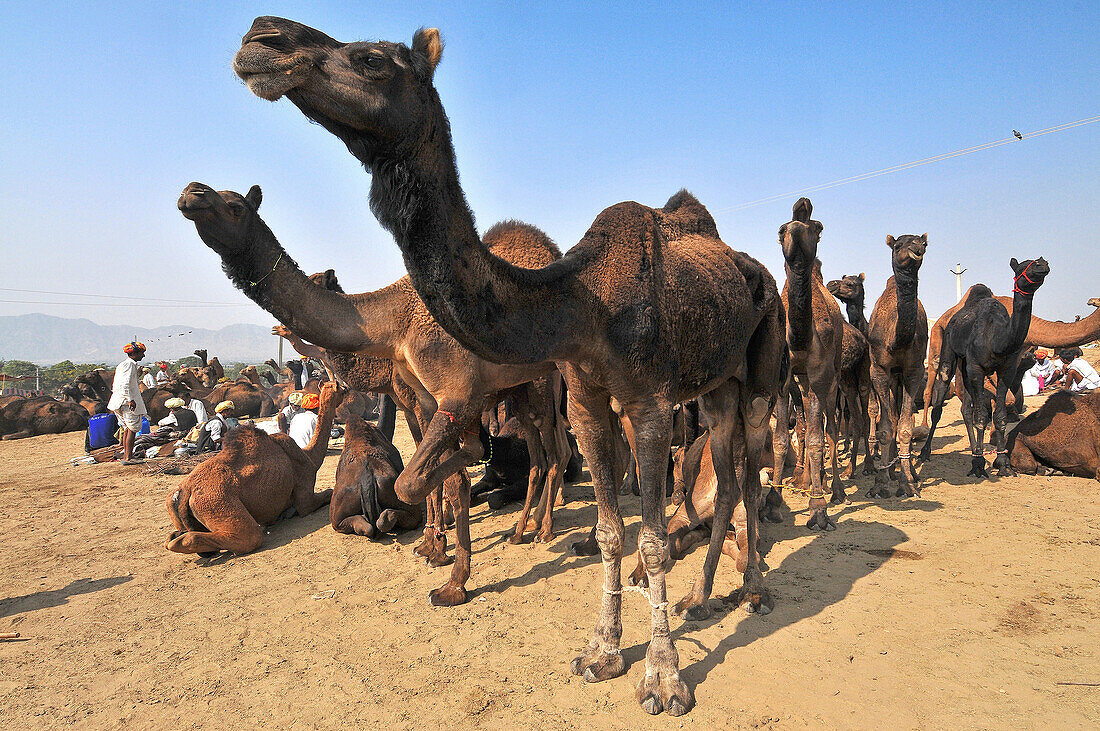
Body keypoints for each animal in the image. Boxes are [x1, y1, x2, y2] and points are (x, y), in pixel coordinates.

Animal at [162, 382, 338, 554]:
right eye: (339, 389)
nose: (344, 387)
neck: (309, 455)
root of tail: (184, 491)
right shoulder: (305, 490)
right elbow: (326, 494)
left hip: (177, 505)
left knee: (175, 535)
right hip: (215, 501)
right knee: (249, 536)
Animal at [232, 17, 787, 712]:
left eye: (372, 60)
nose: (262, 38)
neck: (585, 302)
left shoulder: (650, 403)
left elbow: (653, 538)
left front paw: (665, 679)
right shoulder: (587, 399)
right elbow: (612, 528)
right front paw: (603, 654)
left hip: (761, 369)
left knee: (754, 463)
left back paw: (753, 588)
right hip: (714, 388)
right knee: (730, 471)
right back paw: (702, 594)